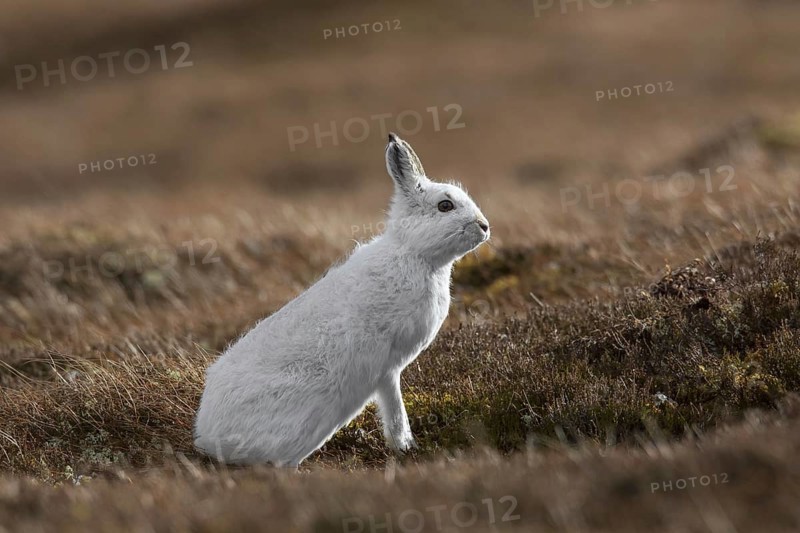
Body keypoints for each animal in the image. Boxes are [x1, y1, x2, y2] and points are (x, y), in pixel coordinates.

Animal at [194, 133, 490, 467]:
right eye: (445, 205)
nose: (484, 226)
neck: (414, 253)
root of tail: (208, 438)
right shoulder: (387, 367)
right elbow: (395, 408)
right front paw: (405, 447)